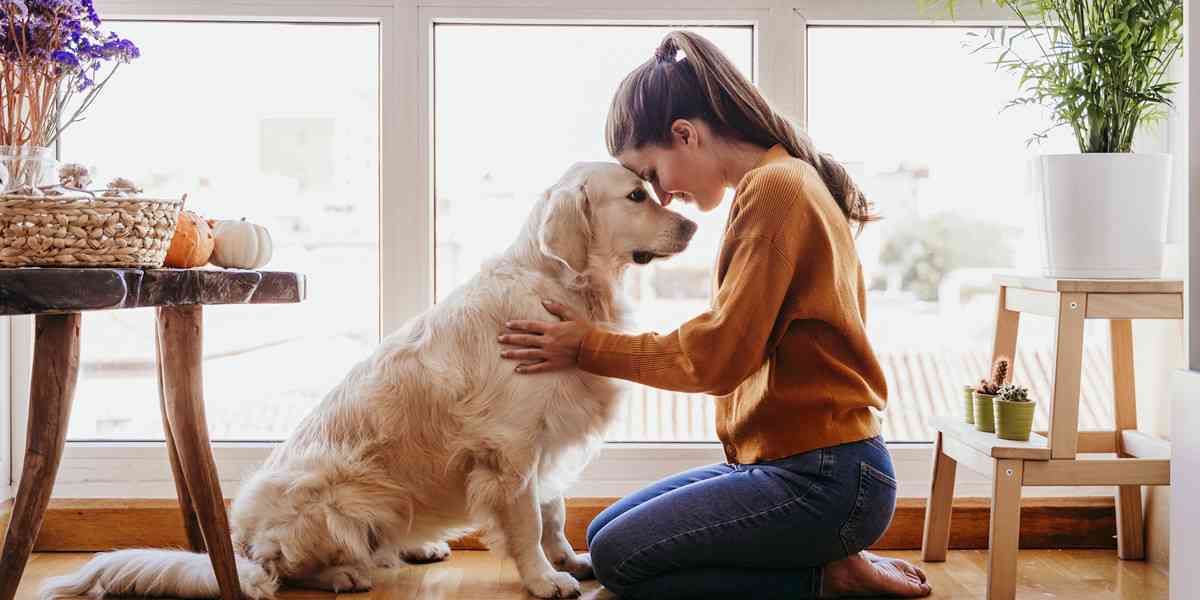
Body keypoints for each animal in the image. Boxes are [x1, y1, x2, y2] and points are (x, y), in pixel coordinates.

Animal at [42, 162, 700, 597]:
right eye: (637, 196)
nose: (694, 228)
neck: (564, 287)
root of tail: (243, 543)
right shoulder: (511, 448)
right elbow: (527, 521)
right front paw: (544, 578)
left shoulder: (548, 436)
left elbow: (554, 510)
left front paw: (570, 560)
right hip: (336, 494)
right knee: (288, 570)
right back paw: (345, 572)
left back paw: (416, 544)